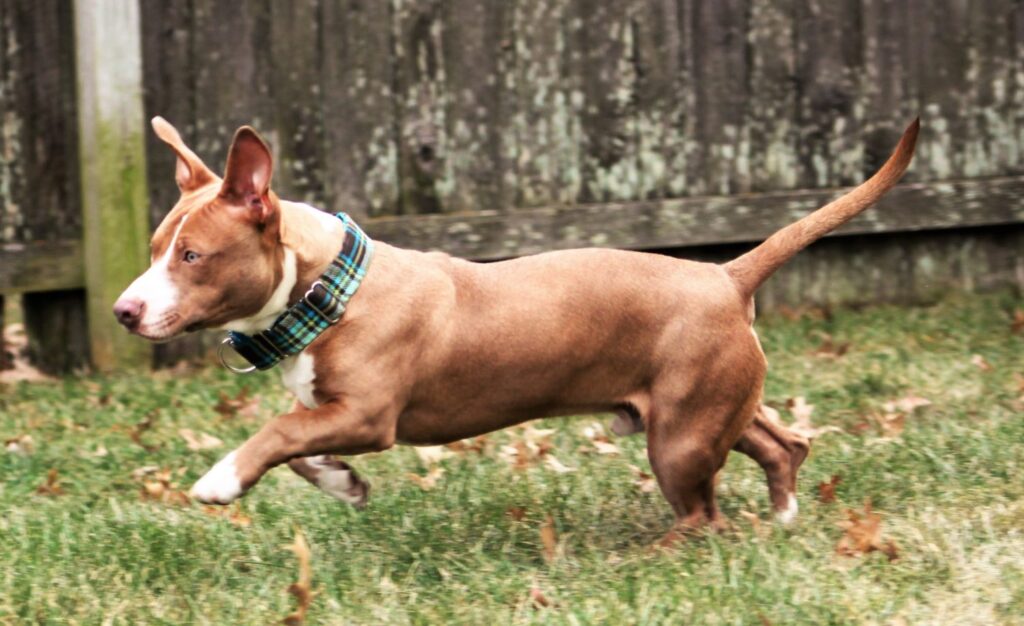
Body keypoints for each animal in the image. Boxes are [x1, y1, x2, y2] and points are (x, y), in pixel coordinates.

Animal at [114, 117, 921, 536]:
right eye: (154, 248)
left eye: (192, 255)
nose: (124, 311)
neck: (325, 288)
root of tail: (726, 275)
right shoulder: (331, 410)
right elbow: (300, 443)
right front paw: (343, 485)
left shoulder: (370, 414)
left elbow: (278, 431)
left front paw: (222, 478)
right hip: (710, 404)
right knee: (784, 443)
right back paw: (784, 515)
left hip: (680, 440)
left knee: (704, 515)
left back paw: (659, 552)